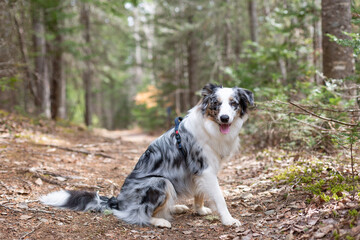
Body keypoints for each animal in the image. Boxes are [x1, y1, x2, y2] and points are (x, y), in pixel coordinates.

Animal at [40, 84, 255, 229]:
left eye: (233, 104)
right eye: (216, 104)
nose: (225, 118)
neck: (211, 126)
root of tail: (119, 201)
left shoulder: (200, 170)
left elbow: (199, 194)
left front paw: (200, 210)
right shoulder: (205, 169)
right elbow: (219, 197)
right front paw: (228, 219)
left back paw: (176, 208)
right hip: (160, 182)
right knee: (138, 214)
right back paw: (160, 221)